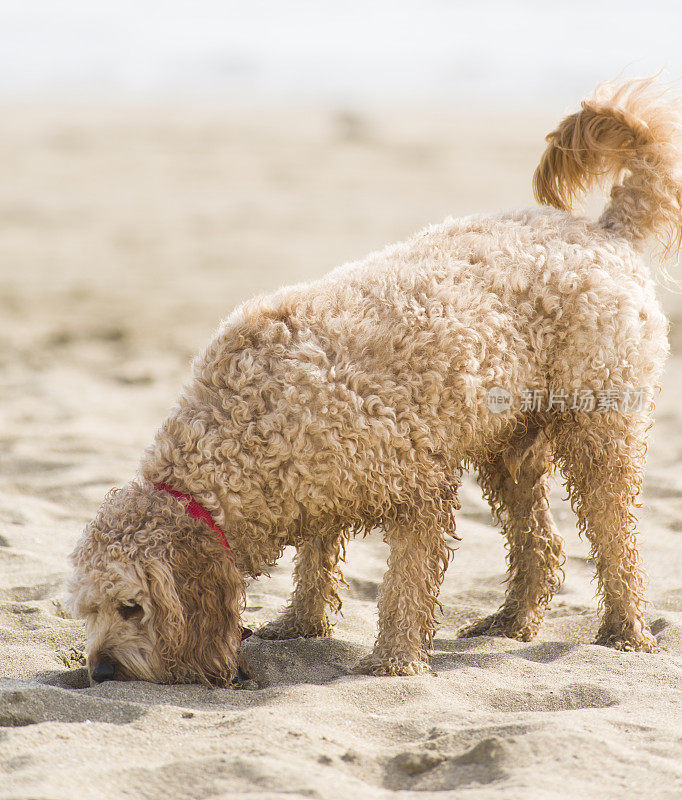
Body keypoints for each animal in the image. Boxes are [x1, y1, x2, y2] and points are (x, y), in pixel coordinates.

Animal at [67, 78, 676, 684]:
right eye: (87, 611)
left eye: (132, 607)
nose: (100, 670)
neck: (244, 421)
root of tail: (604, 232)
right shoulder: (312, 487)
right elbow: (315, 562)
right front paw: (300, 624)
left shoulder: (419, 490)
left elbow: (405, 584)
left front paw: (394, 660)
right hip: (509, 448)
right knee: (542, 546)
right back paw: (510, 621)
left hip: (599, 431)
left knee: (617, 542)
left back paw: (626, 630)